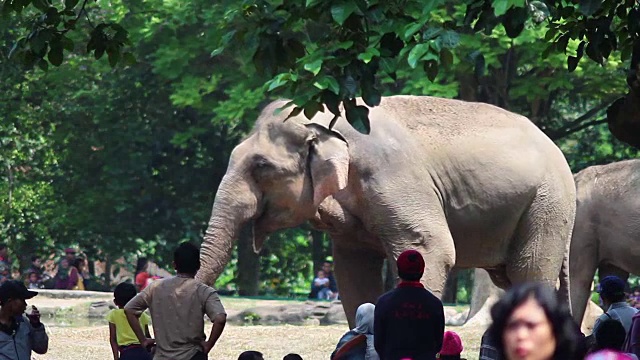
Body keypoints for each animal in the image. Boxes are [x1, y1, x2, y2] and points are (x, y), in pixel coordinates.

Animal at [195, 95, 576, 326]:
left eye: (261, 166)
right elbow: (353, 268)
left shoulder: (393, 177)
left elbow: (432, 250)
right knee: (510, 276)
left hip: (547, 204)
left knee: (529, 269)